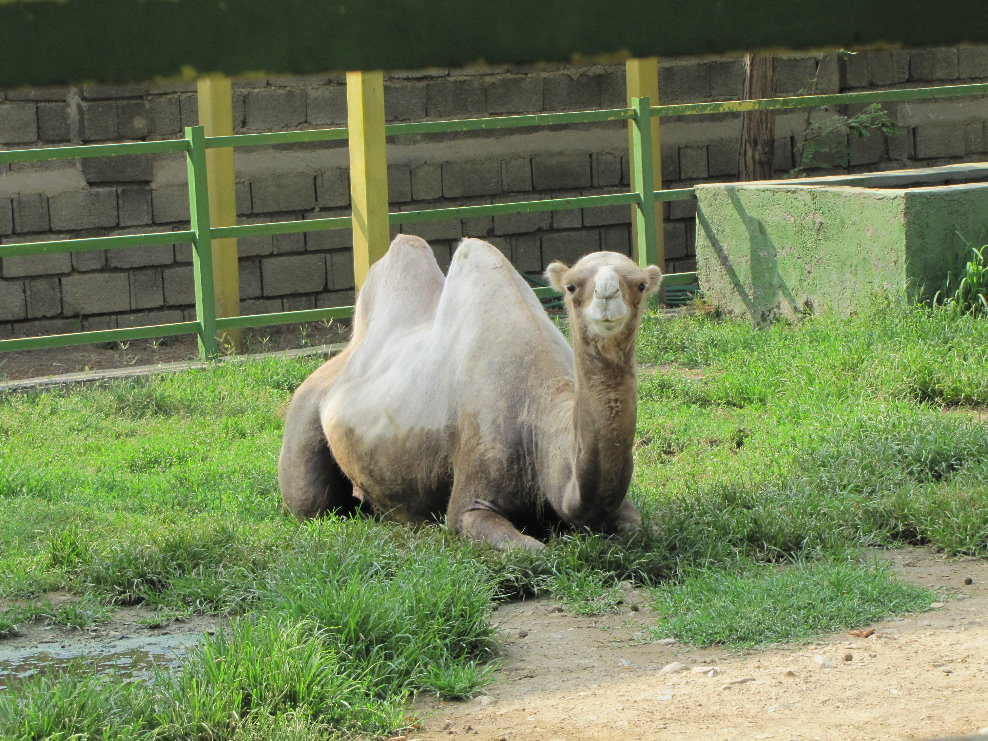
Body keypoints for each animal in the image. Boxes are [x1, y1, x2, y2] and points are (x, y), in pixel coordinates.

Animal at [278, 234, 661, 550]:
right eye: (571, 286)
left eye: (641, 284)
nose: (607, 295)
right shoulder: (471, 498)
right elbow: (530, 549)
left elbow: (640, 526)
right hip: (305, 416)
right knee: (312, 504)